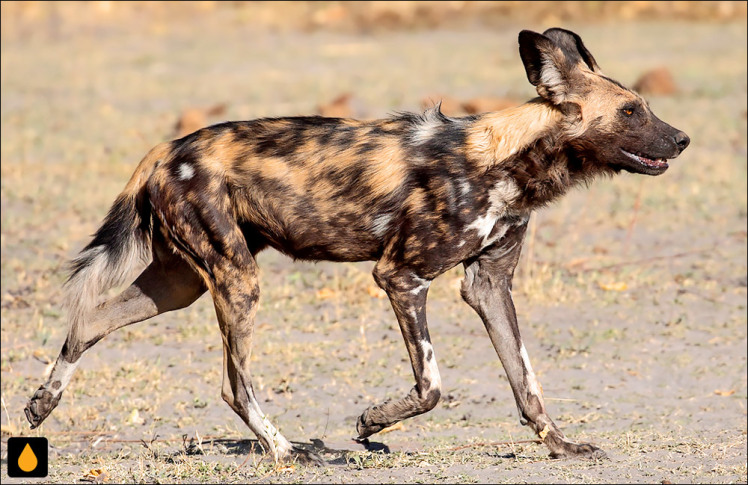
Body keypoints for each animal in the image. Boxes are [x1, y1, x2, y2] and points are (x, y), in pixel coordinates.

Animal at [23, 29, 688, 462]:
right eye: (631, 112)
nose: (682, 138)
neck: (504, 159)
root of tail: (166, 149)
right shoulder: (401, 276)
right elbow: (432, 386)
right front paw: (371, 424)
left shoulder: (488, 285)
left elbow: (527, 382)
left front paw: (561, 446)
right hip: (236, 282)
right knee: (233, 383)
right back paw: (287, 450)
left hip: (181, 283)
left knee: (88, 319)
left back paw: (40, 405)